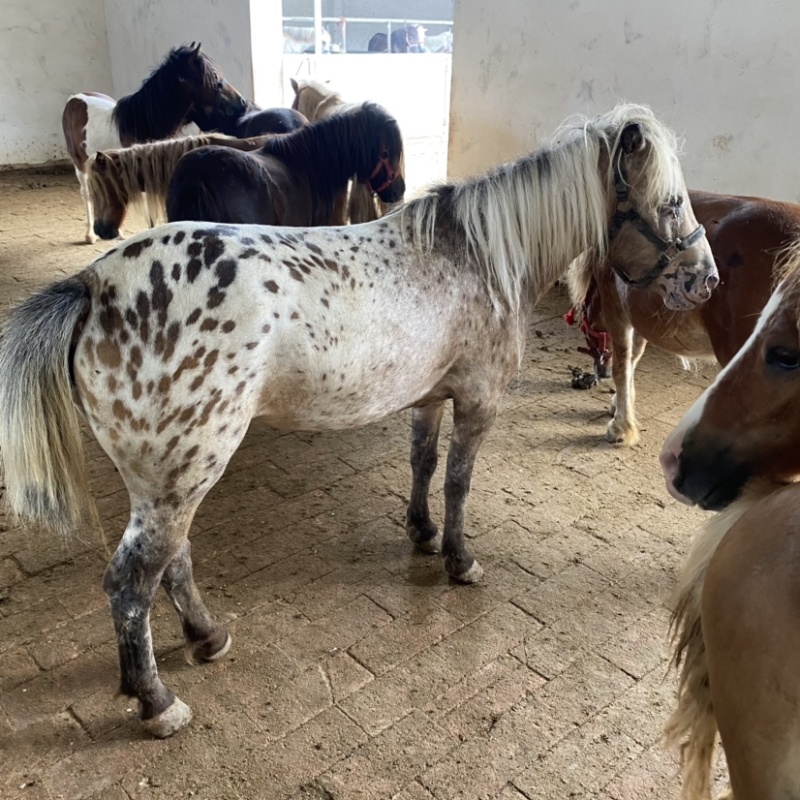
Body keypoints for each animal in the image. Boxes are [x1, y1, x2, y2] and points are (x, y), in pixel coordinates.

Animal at [62, 43, 249, 244]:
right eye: (214, 76)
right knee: (87, 195)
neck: (142, 123)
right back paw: (90, 234)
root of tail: (74, 99)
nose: (243, 102)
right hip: (80, 165)